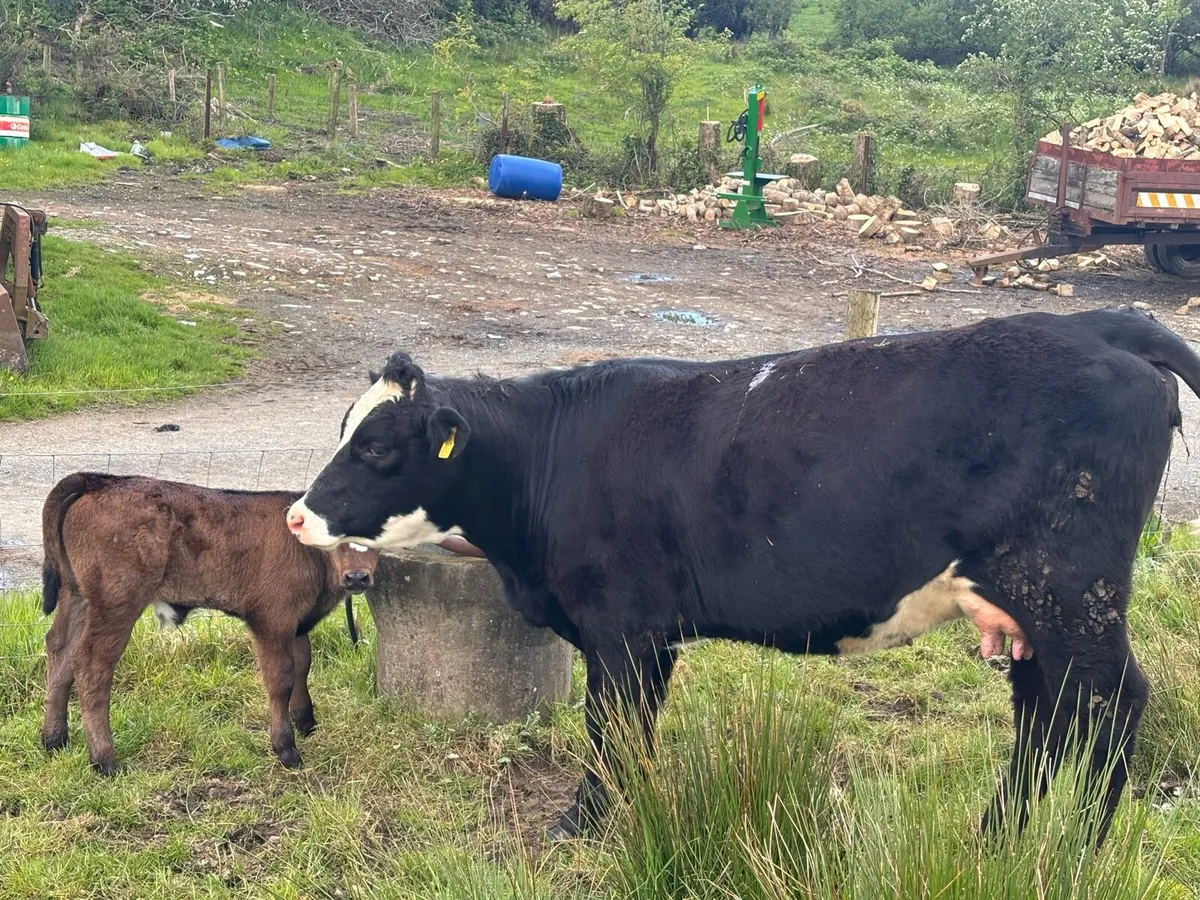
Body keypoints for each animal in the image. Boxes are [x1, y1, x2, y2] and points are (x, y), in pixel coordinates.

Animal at [40, 473, 381, 774]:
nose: (357, 577)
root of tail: (101, 481)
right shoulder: (272, 620)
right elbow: (280, 678)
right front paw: (285, 748)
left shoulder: (298, 623)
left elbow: (302, 665)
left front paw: (306, 721)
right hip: (116, 602)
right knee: (91, 665)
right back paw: (104, 759)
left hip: (77, 595)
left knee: (60, 649)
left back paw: (53, 739)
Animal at [285, 306, 1200, 846]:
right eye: (345, 429)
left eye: (378, 448)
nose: (295, 515)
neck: (551, 453)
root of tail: (1092, 323)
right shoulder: (648, 638)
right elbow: (635, 732)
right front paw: (632, 813)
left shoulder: (619, 628)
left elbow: (609, 729)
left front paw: (582, 824)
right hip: (1026, 608)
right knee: (1048, 714)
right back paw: (999, 837)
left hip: (1069, 592)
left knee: (1111, 704)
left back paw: (1076, 847)